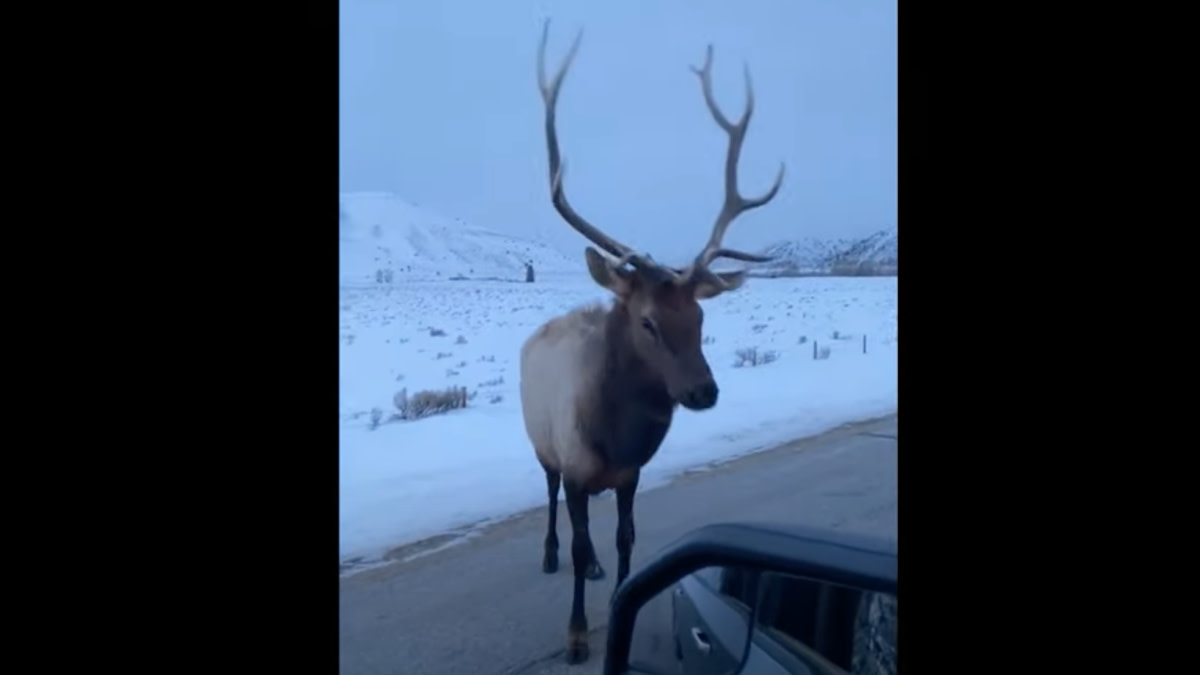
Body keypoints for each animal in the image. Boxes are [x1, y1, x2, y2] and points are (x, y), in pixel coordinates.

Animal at [520, 21, 786, 665]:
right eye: (647, 321)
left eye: (700, 315)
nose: (704, 391)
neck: (612, 437)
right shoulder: (574, 465)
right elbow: (579, 533)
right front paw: (576, 635)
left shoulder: (630, 474)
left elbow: (624, 539)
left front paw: (619, 592)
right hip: (540, 444)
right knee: (548, 498)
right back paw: (550, 553)